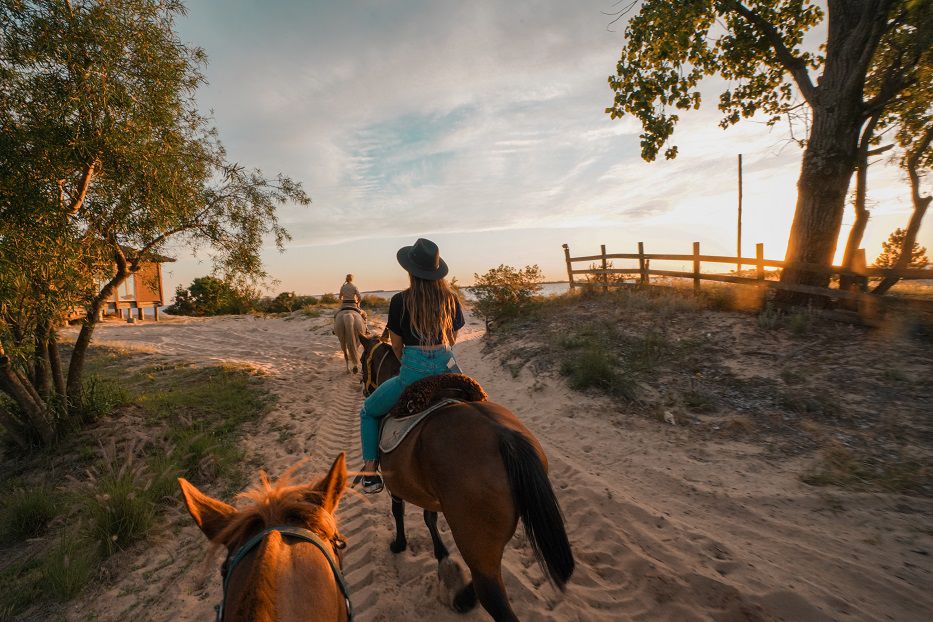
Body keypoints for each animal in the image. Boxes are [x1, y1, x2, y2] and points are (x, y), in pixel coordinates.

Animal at [358, 336, 572, 622]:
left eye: (362, 359)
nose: (364, 389)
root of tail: (505, 437)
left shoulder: (397, 485)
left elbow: (398, 511)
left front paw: (400, 544)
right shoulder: (429, 493)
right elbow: (429, 517)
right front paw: (441, 553)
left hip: (473, 534)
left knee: (492, 591)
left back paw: (465, 598)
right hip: (486, 535)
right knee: (490, 565)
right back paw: (465, 596)